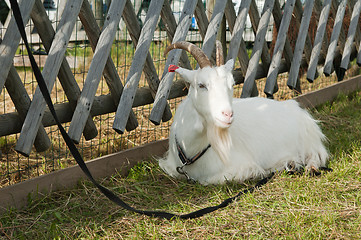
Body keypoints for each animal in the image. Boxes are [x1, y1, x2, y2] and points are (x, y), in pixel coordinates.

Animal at [159, 41, 328, 185]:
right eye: (201, 85)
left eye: (232, 84)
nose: (227, 114)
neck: (191, 152)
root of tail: (294, 107)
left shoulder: (241, 167)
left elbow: (209, 180)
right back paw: (290, 164)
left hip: (307, 141)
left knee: (316, 155)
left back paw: (310, 168)